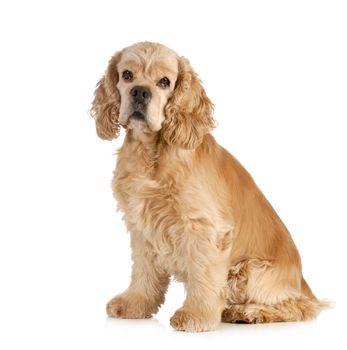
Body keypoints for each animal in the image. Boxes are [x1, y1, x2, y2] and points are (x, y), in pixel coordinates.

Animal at [92, 42, 326, 332]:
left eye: (164, 81)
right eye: (127, 75)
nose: (140, 91)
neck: (151, 153)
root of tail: (303, 282)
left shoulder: (204, 227)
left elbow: (204, 274)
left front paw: (196, 316)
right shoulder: (142, 225)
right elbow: (144, 272)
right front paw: (135, 304)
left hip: (250, 271)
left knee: (301, 306)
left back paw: (248, 312)